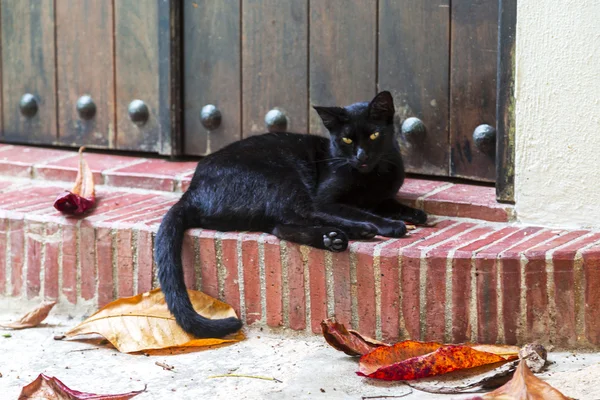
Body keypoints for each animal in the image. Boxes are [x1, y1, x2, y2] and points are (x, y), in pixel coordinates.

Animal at [155, 90, 426, 338]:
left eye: (374, 135)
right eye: (347, 140)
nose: (361, 156)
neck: (372, 176)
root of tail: (191, 192)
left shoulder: (381, 196)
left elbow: (389, 202)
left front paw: (416, 213)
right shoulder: (325, 199)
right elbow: (362, 211)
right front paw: (390, 224)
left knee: (281, 226)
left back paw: (332, 239)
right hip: (284, 177)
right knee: (297, 215)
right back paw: (356, 231)